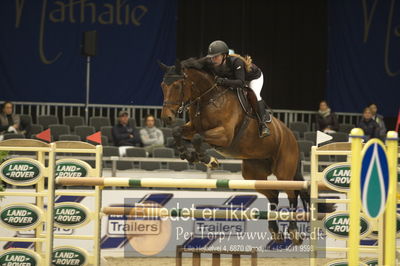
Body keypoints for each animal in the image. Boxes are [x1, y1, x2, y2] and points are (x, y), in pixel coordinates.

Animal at [159, 58, 322, 245]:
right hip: (253, 174)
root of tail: (292, 137)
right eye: (163, 85)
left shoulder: (225, 135)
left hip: (284, 171)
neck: (208, 98)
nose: (166, 117)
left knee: (292, 194)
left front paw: (209, 160)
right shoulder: (193, 127)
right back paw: (275, 231)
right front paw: (189, 155)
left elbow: (198, 138)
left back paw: (294, 232)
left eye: (177, 86)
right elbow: (178, 132)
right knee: (273, 194)